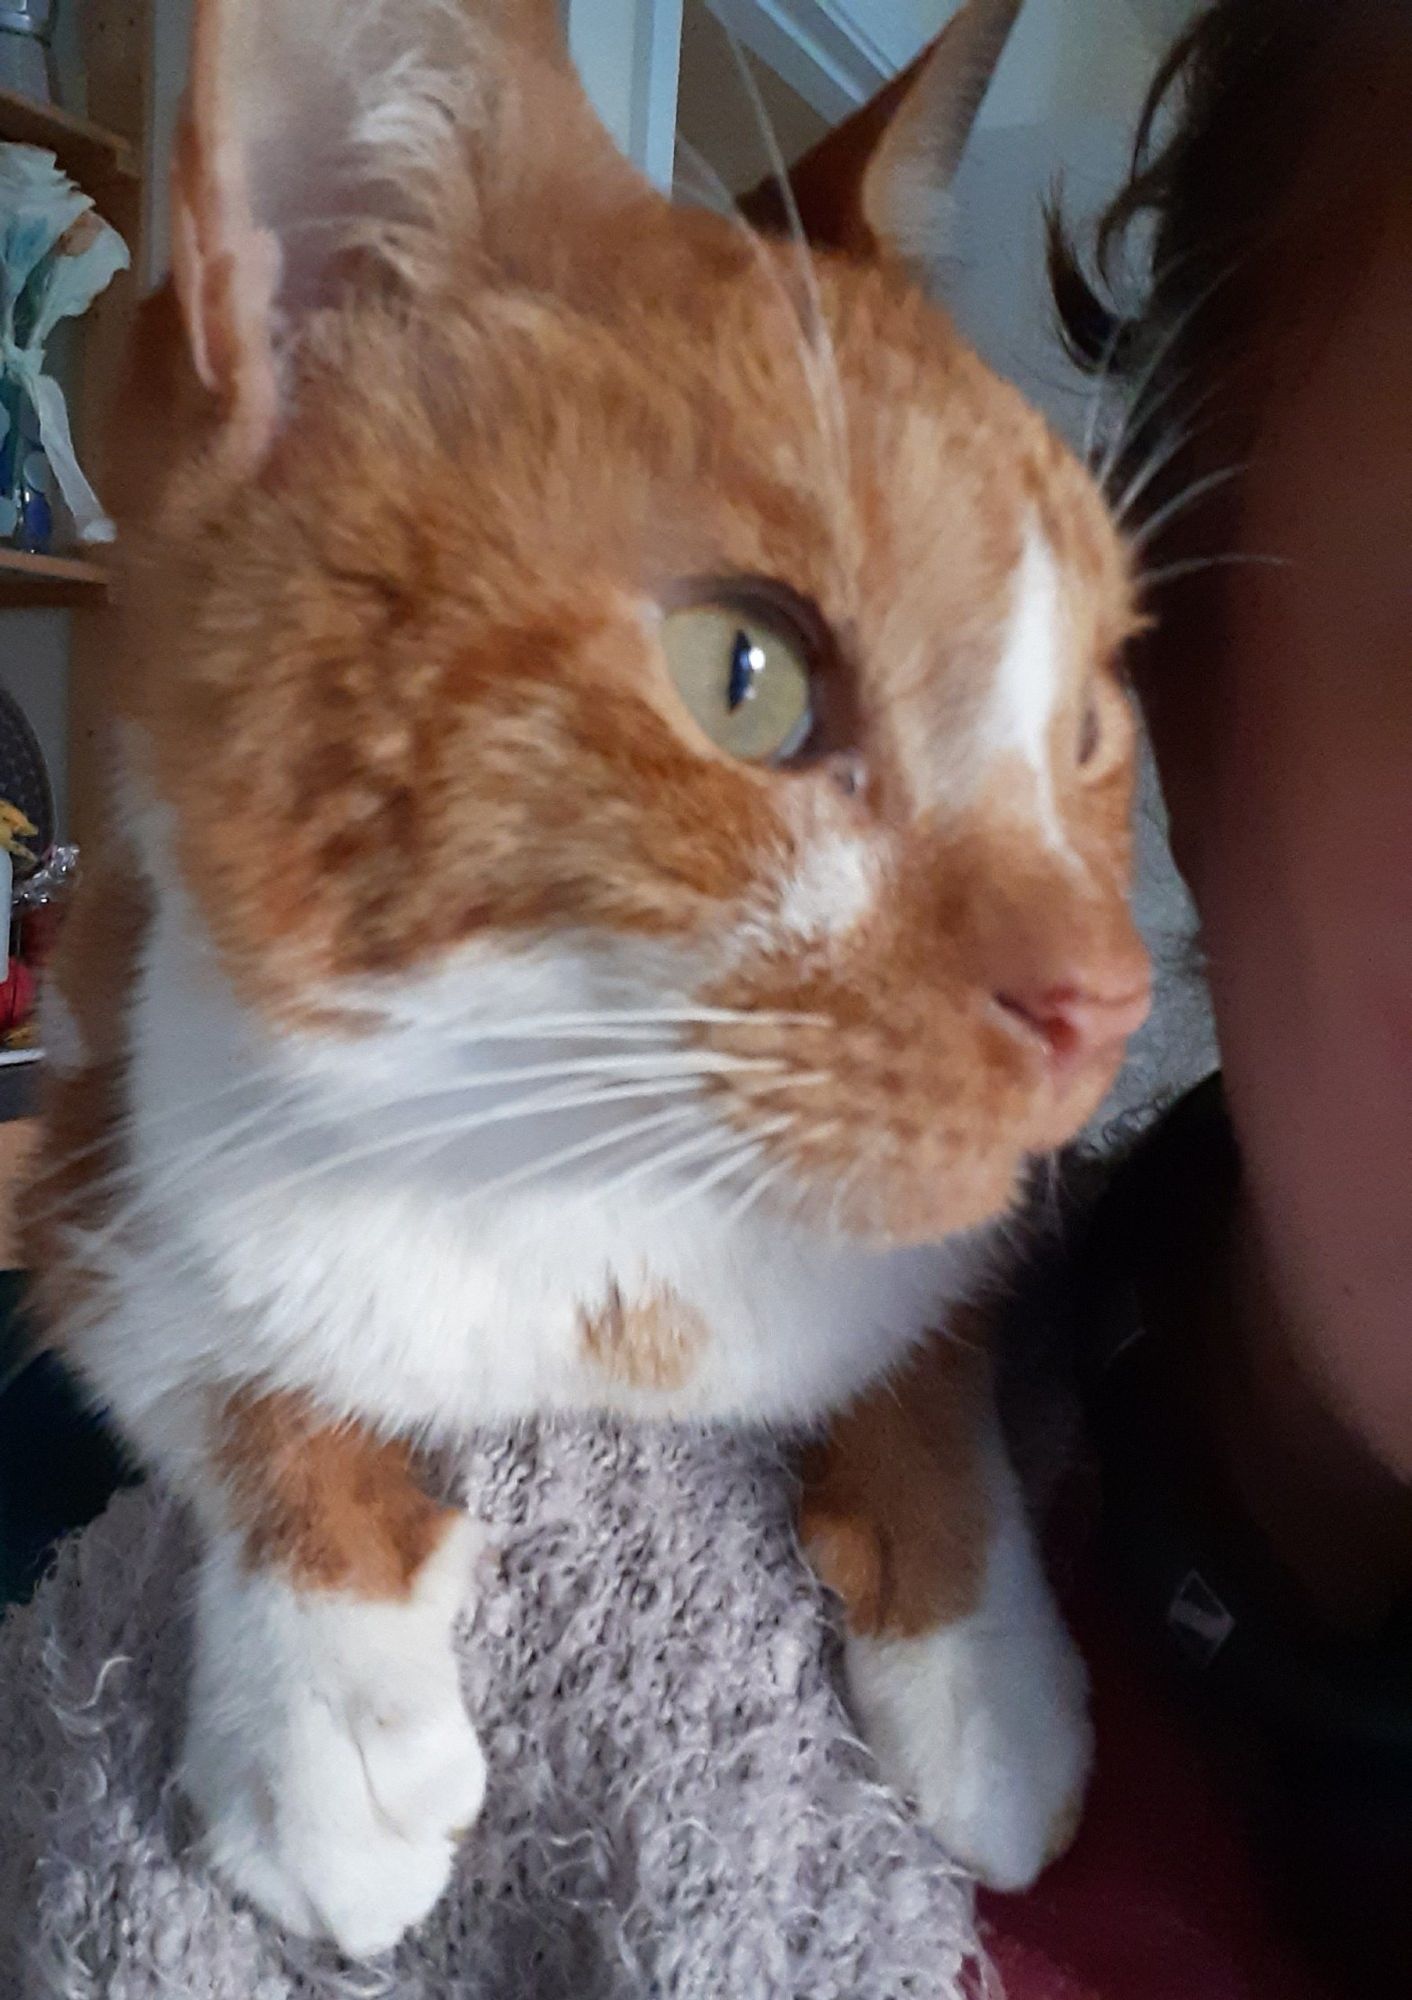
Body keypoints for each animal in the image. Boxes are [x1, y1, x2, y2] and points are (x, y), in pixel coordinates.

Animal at [30, 0, 1144, 1960]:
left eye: (1087, 719)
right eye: (744, 672)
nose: (1110, 999)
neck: (602, 1217)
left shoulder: (952, 1237)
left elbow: (935, 1365)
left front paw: (986, 1680)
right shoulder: (84, 1163)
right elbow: (227, 1380)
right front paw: (333, 1723)